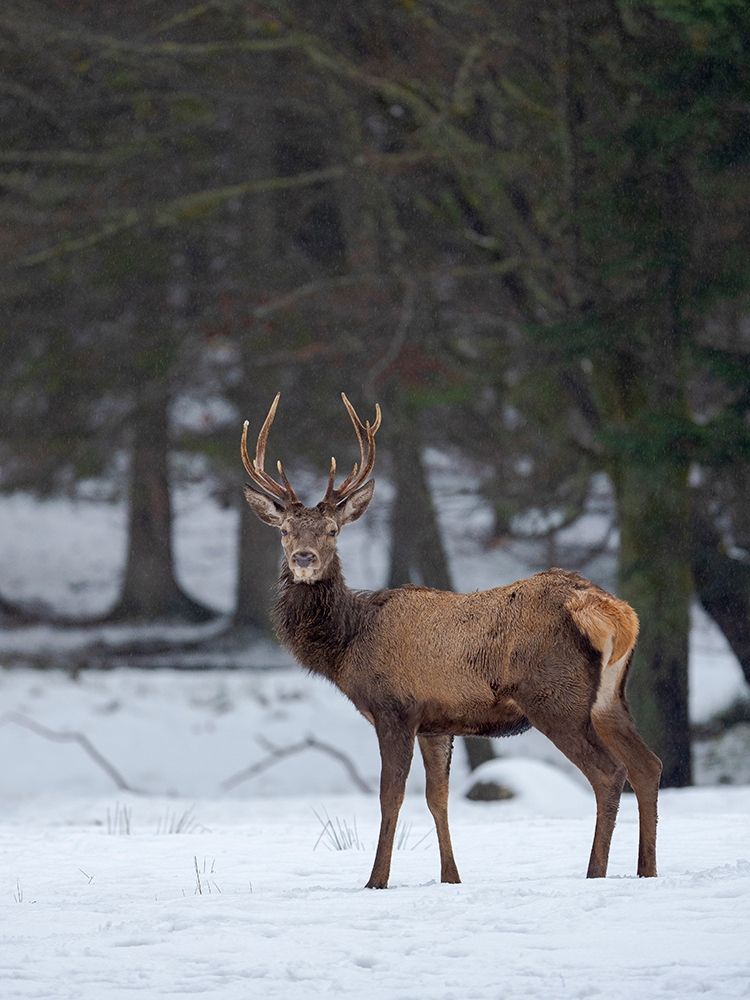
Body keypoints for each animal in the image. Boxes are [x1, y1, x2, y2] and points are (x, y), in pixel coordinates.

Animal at [240, 392, 662, 889]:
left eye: (332, 530)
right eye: (285, 531)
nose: (304, 558)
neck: (349, 643)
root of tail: (610, 609)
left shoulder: (394, 707)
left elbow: (391, 796)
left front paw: (376, 880)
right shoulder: (436, 721)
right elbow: (437, 798)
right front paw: (451, 877)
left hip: (556, 697)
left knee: (609, 773)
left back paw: (595, 872)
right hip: (609, 699)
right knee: (648, 766)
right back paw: (647, 870)